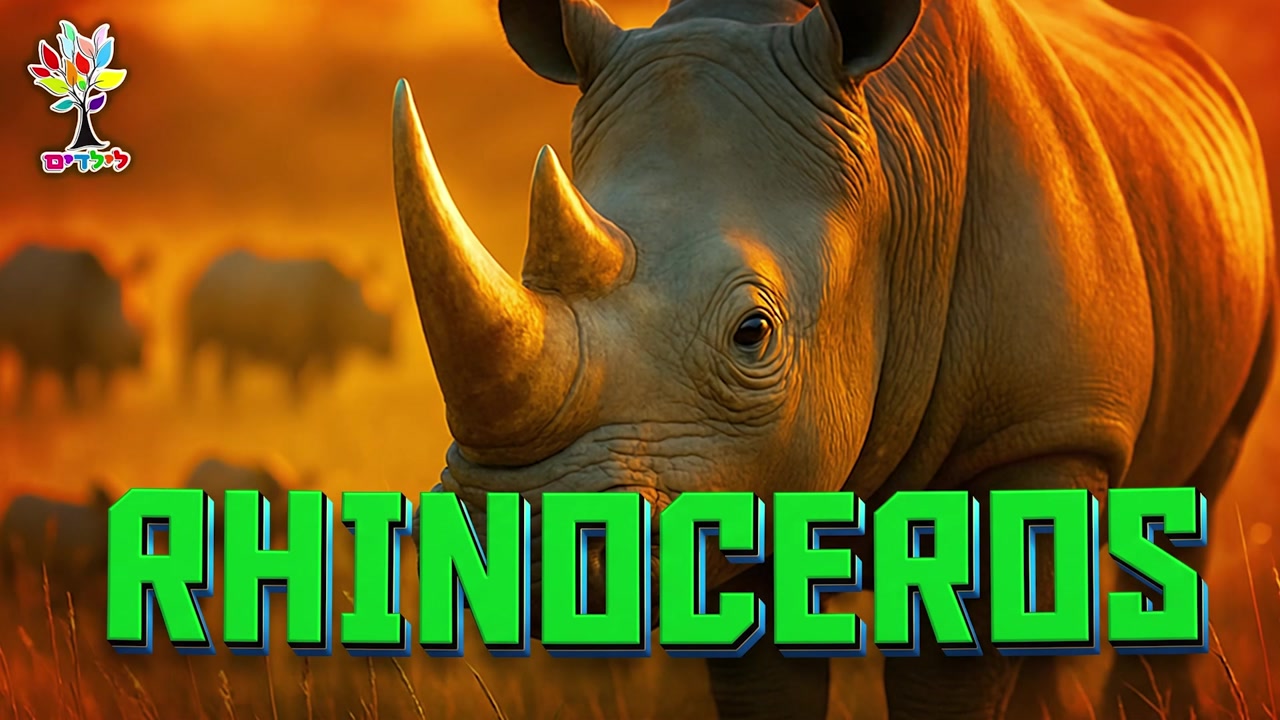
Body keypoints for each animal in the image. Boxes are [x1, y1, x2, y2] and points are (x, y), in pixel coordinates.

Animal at [0, 244, 148, 411]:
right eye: (112, 331)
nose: (137, 358)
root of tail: (10, 262)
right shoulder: (69, 347)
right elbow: (71, 384)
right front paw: (75, 409)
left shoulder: (104, 356)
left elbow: (103, 387)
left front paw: (101, 410)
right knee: (28, 358)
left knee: (31, 358)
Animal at [182, 249, 394, 403]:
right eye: (365, 321)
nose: (391, 350)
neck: (339, 296)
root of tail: (204, 269)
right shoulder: (295, 346)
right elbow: (296, 381)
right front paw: (297, 408)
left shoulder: (325, 344)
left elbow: (316, 380)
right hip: (203, 297)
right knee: (195, 349)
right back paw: (192, 402)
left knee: (230, 353)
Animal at [395, 0, 1275, 718]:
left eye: (753, 333)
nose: (514, 557)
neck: (891, 168)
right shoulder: (752, 469)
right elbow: (763, 677)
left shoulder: (1036, 432)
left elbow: (954, 673)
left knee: (1195, 498)